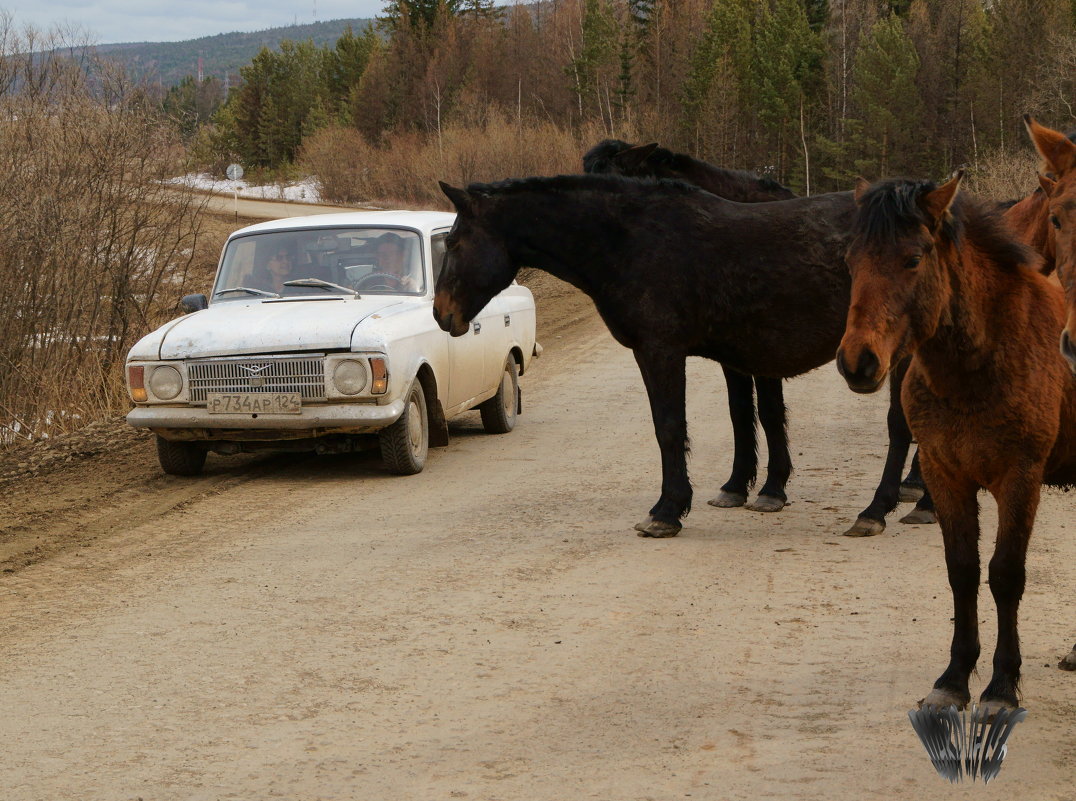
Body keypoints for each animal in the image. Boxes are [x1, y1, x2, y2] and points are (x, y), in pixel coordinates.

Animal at [432, 175, 852, 538]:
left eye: (452, 243)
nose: (440, 313)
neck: (629, 244)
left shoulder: (661, 350)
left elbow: (669, 427)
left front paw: (667, 512)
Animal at [581, 139, 933, 534]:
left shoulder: (766, 352)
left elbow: (768, 412)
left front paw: (772, 488)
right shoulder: (735, 356)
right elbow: (739, 411)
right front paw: (736, 485)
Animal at [834, 173, 1076, 706]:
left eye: (913, 258)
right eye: (851, 260)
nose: (857, 361)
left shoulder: (1019, 479)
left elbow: (1005, 574)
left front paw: (1002, 684)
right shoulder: (945, 475)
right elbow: (962, 571)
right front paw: (954, 678)